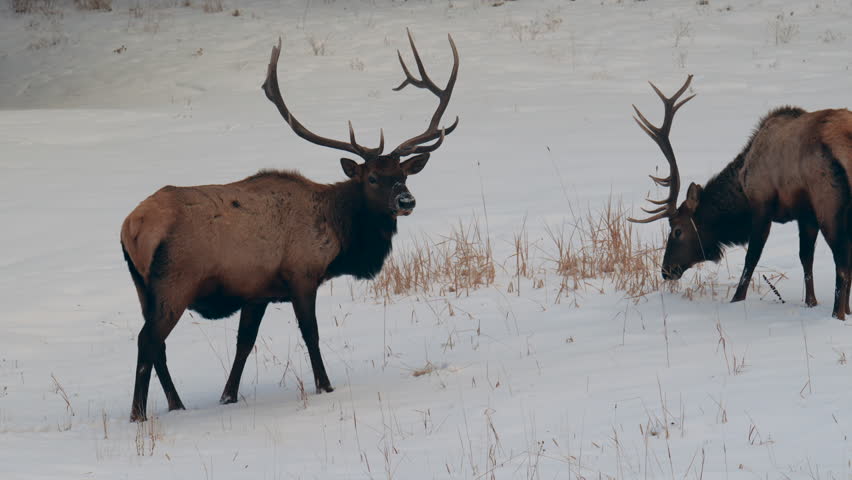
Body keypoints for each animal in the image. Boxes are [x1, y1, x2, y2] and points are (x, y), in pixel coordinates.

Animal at [120, 30, 459, 422]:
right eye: (373, 178)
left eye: (403, 175)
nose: (406, 201)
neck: (339, 235)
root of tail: (132, 226)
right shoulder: (302, 273)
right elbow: (310, 334)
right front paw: (325, 386)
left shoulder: (257, 291)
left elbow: (244, 343)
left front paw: (228, 395)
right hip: (175, 282)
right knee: (147, 340)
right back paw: (139, 414)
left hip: (142, 287)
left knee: (156, 344)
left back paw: (176, 404)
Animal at [629, 75, 851, 319]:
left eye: (677, 230)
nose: (666, 270)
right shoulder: (806, 213)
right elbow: (805, 259)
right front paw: (813, 303)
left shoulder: (763, 205)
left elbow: (751, 258)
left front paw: (736, 299)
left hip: (828, 203)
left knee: (842, 265)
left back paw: (837, 315)